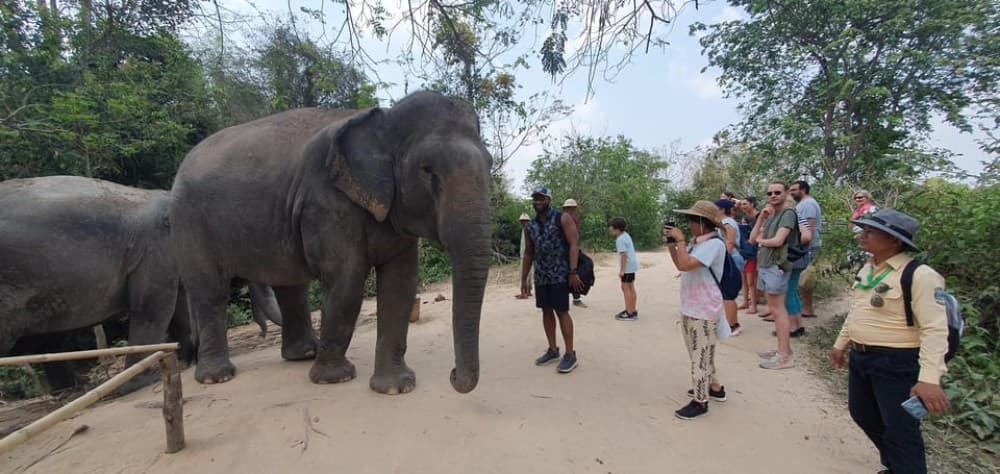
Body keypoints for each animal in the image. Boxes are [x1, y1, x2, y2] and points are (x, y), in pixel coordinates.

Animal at [0, 176, 281, 392]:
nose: (263, 333)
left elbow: (178, 309)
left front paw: (185, 361)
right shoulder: (153, 254)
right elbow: (154, 310)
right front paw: (144, 380)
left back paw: (75, 388)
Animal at [170, 91, 492, 394]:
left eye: (490, 163)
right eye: (427, 169)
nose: (453, 375)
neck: (383, 120)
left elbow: (400, 283)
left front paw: (395, 388)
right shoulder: (326, 203)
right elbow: (346, 281)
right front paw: (334, 379)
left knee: (290, 285)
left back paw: (304, 354)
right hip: (189, 223)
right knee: (210, 292)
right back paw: (217, 377)